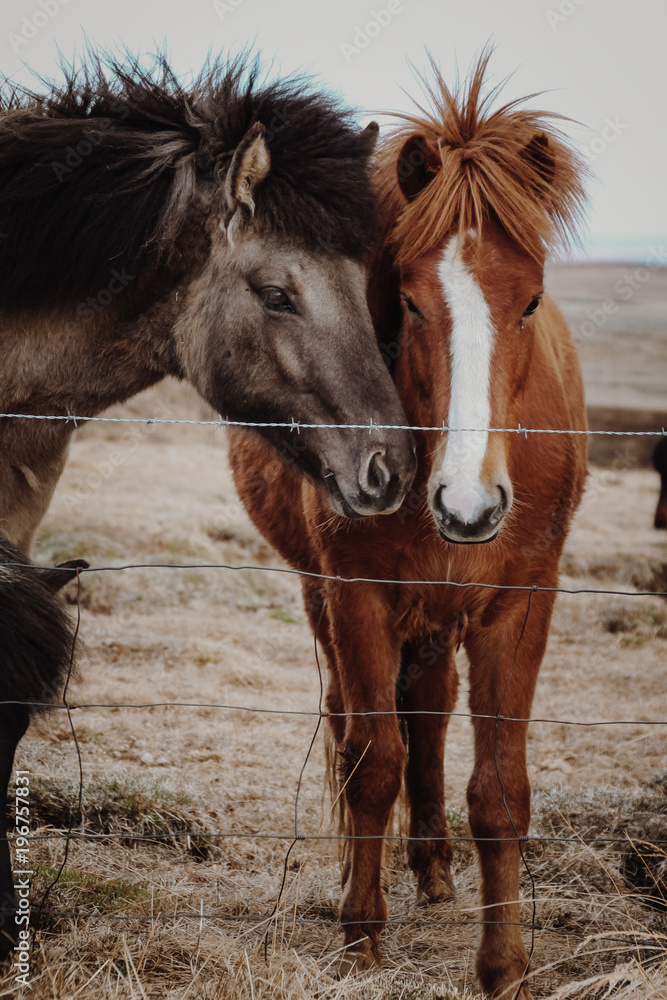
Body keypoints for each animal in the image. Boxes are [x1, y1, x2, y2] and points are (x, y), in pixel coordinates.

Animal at [229, 53, 588, 999]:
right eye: (413, 302)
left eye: (530, 300)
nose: (469, 505)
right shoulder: (355, 594)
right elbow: (370, 762)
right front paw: (361, 935)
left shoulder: (518, 604)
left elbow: (498, 790)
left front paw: (502, 966)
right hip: (329, 596)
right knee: (362, 724)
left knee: (428, 711)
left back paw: (431, 866)